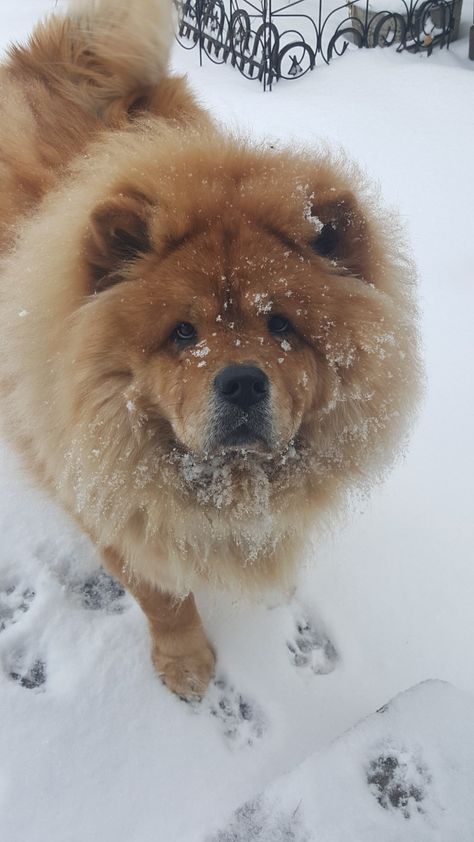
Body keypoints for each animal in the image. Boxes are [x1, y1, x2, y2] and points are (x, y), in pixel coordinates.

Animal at [0, 0, 422, 696]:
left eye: (281, 325)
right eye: (182, 333)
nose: (242, 381)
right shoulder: (105, 495)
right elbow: (163, 596)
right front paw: (187, 666)